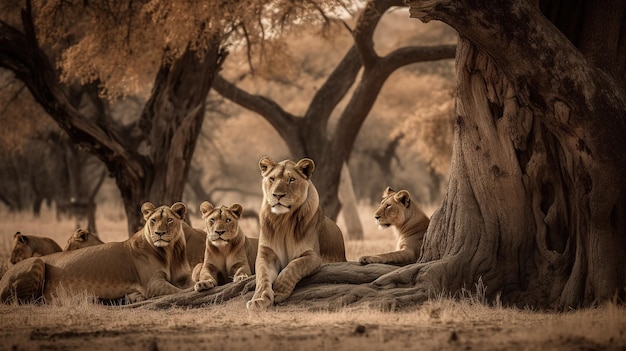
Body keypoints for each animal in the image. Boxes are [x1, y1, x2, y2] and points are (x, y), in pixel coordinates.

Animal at [0, 204, 193, 306]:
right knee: (26, 301)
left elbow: (189, 282)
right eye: (153, 220)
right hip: (37, 262)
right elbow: (178, 291)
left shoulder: (182, 276)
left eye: (169, 220)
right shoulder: (153, 284)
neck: (171, 253)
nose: (159, 233)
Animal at [246, 158, 346, 310]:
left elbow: (294, 266)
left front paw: (279, 290)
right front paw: (259, 299)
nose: (278, 195)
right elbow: (262, 276)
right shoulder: (266, 254)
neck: (282, 221)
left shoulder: (312, 256)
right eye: (272, 179)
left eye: (291, 179)